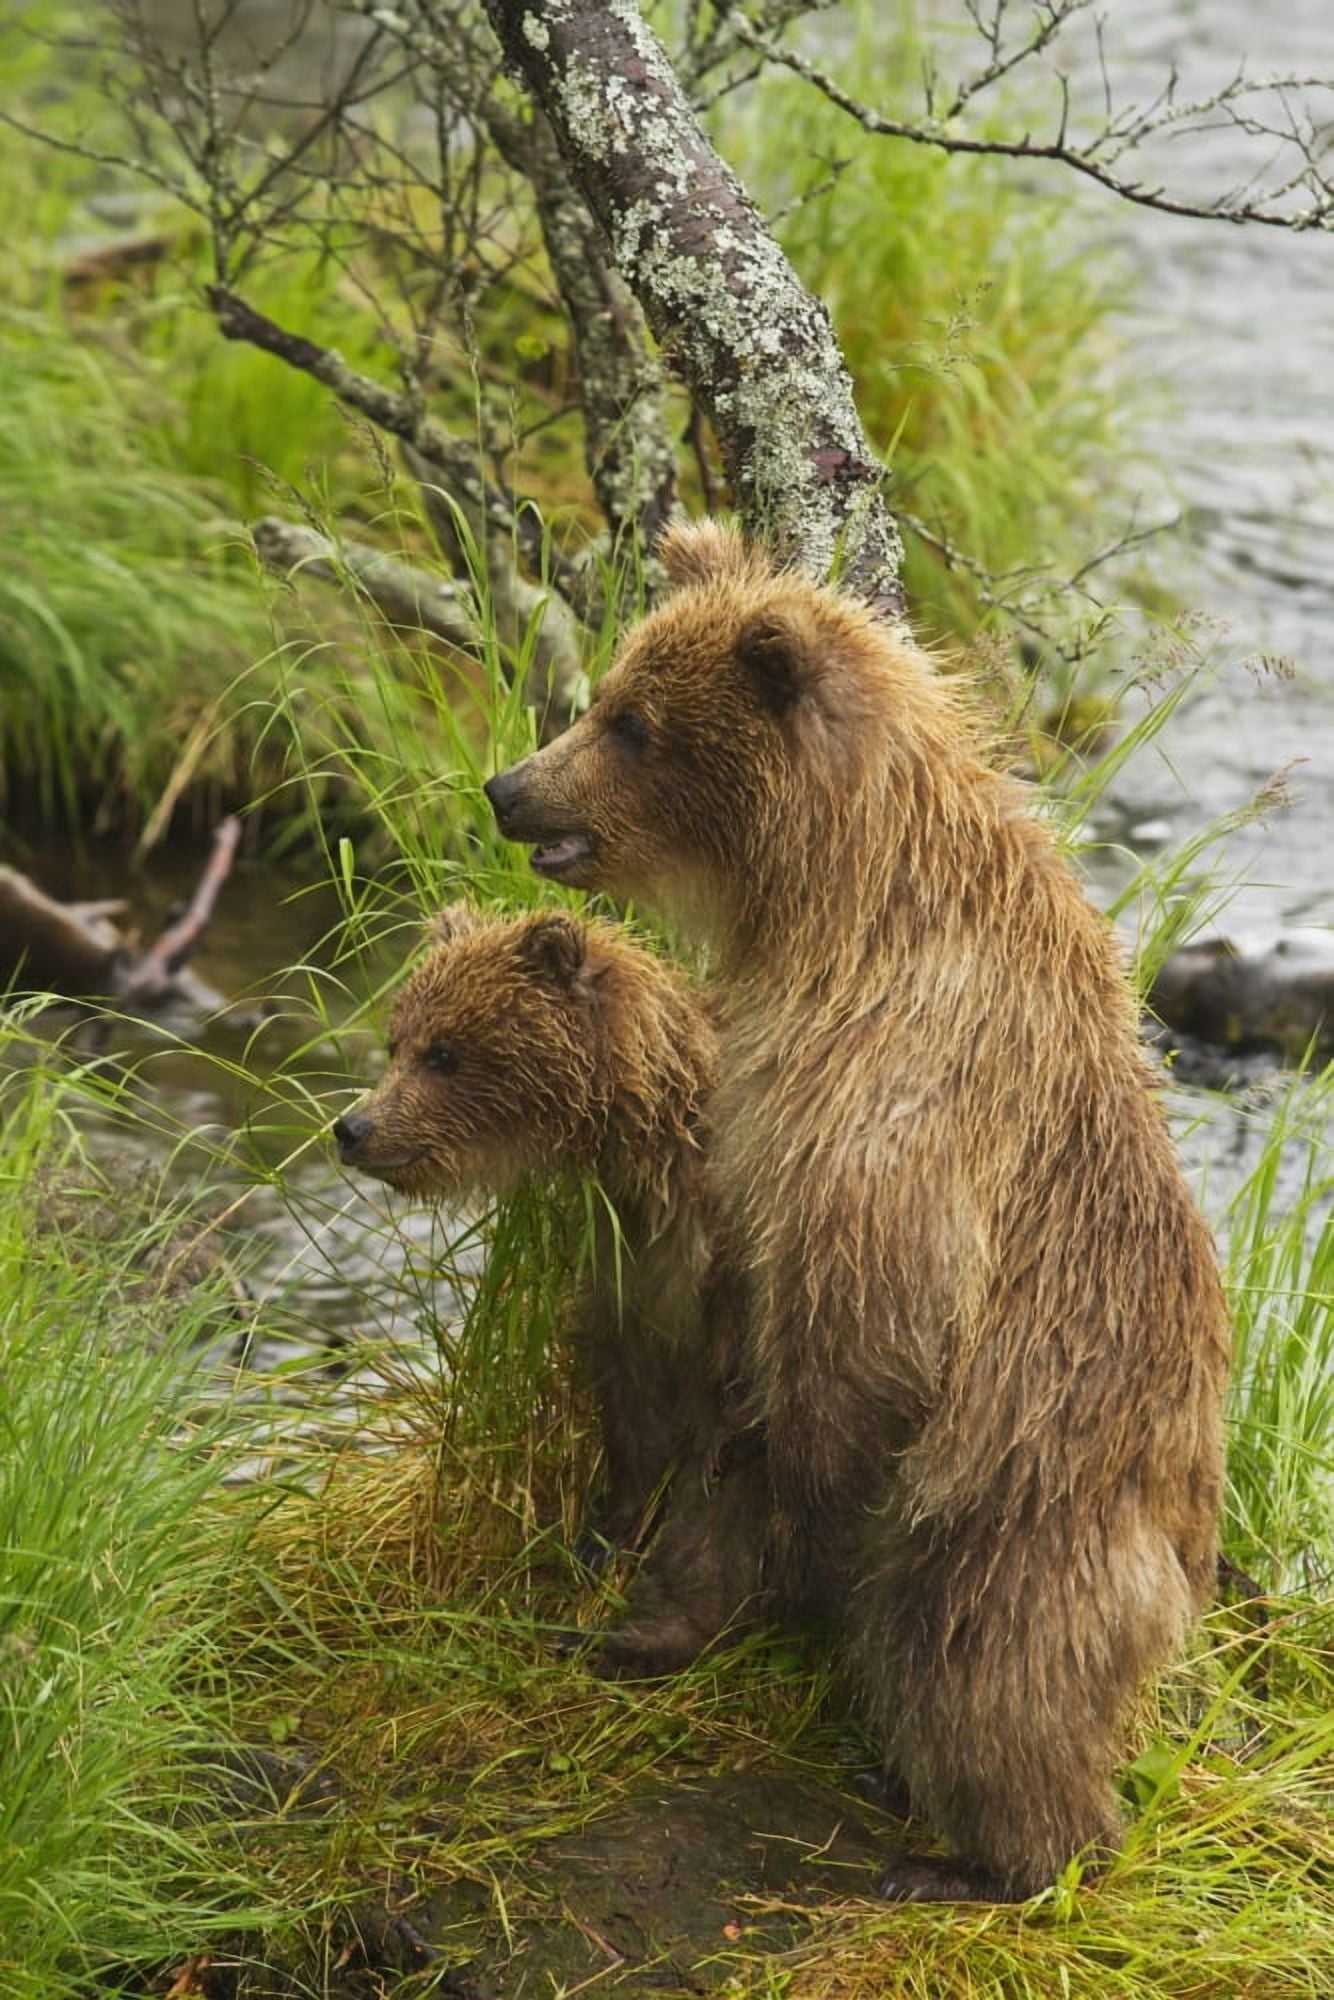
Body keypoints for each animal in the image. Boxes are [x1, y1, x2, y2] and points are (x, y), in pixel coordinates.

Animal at [332, 901, 767, 1665]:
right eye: (396, 1042)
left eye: (444, 1052)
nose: (353, 1127)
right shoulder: (628, 1263)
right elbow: (632, 1407)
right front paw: (603, 1538)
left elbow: (719, 1473)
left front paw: (651, 1624)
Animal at [483, 520, 1232, 1903]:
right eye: (606, 694)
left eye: (629, 722)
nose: (512, 785)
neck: (828, 904)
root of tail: (1182, 1563)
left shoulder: (895, 1092)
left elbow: (867, 1320)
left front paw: (800, 1524)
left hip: (1026, 1509)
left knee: (985, 1669)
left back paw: (982, 1852)